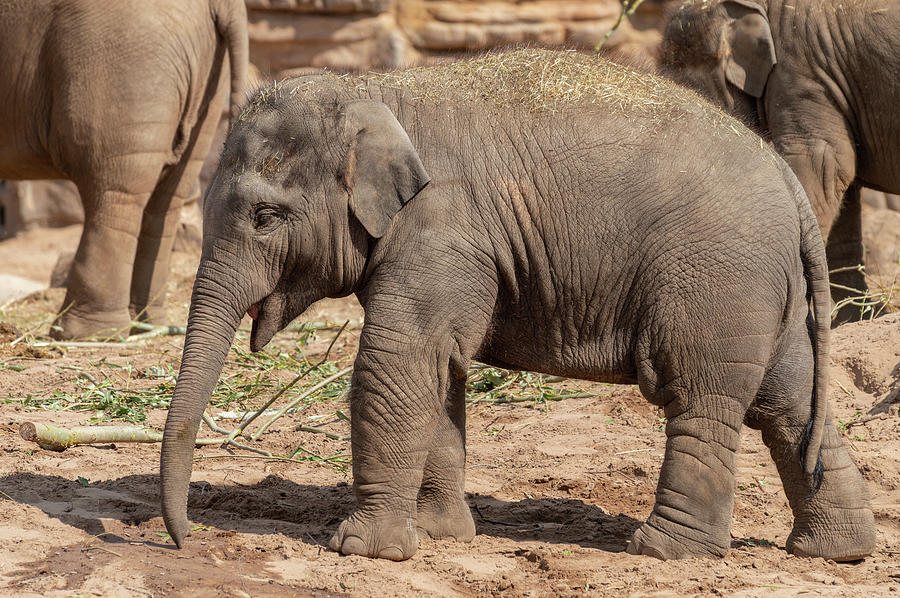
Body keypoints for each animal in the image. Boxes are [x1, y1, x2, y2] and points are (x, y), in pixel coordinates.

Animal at [0, 0, 248, 338]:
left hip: (121, 59)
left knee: (114, 192)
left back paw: (81, 333)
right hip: (206, 82)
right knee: (168, 196)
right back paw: (145, 324)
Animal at [158, 50, 876, 564]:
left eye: (265, 216)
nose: (189, 537)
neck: (374, 89)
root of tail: (789, 182)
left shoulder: (444, 231)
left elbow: (395, 364)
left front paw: (363, 549)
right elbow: (440, 371)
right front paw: (440, 536)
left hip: (716, 282)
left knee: (702, 398)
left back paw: (663, 551)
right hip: (768, 294)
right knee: (789, 403)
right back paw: (835, 552)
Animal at [656, 0, 896, 326]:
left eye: (689, 91)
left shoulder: (801, 70)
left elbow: (822, 164)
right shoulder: (830, 81)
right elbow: (843, 181)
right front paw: (857, 319)